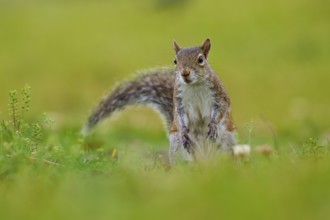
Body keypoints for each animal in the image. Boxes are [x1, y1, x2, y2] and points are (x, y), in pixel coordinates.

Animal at [82, 38, 237, 163]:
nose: (184, 72)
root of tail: (204, 161)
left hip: (227, 142)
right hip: (178, 146)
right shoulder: (179, 101)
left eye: (200, 59)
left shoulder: (219, 94)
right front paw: (183, 131)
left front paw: (213, 125)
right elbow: (179, 116)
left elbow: (222, 108)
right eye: (175, 60)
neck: (194, 85)